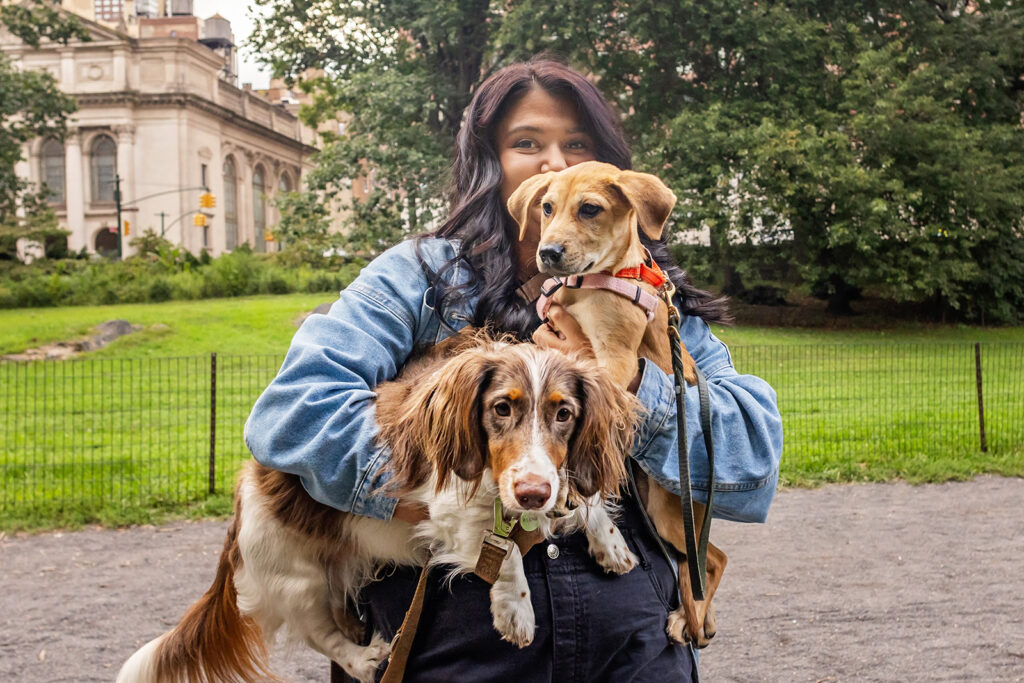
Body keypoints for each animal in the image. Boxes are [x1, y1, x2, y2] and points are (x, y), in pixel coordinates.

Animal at [507, 158, 724, 647]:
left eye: (590, 209)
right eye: (546, 207)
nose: (548, 253)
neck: (588, 282)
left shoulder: (615, 359)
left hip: (669, 511)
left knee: (712, 560)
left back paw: (690, 617)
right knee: (698, 561)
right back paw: (695, 620)